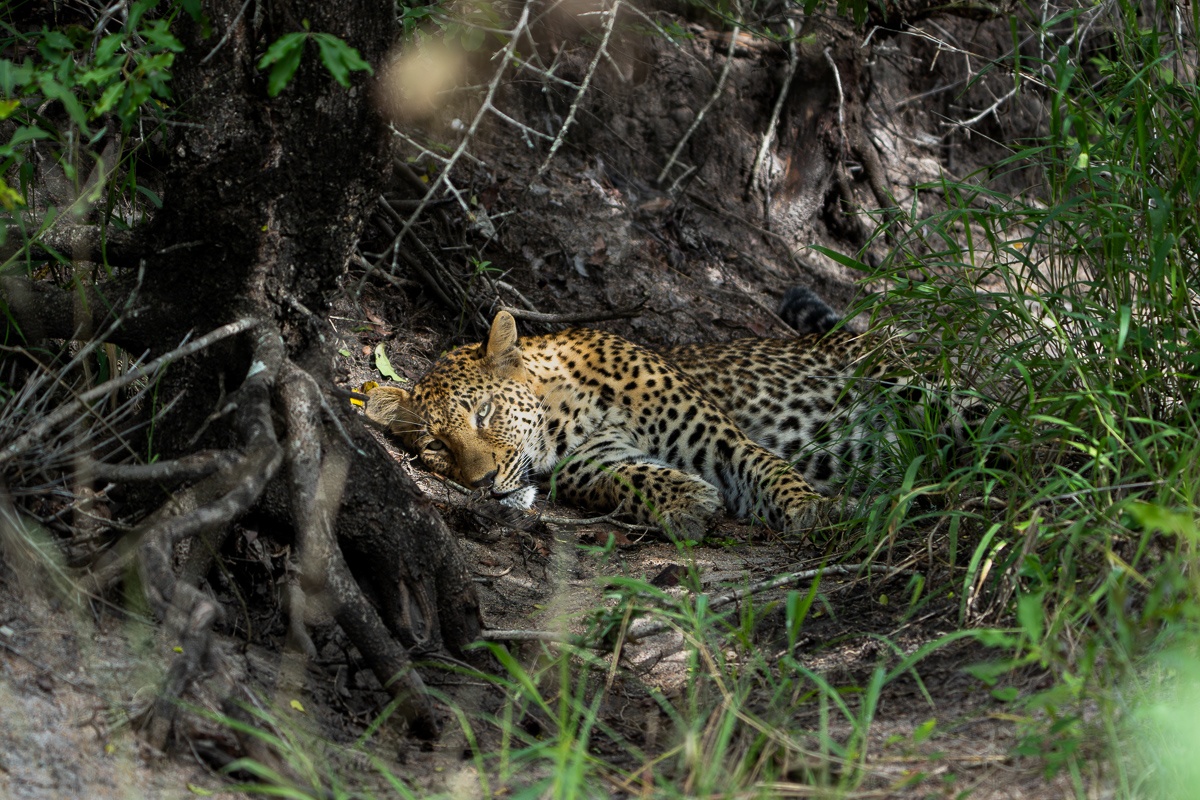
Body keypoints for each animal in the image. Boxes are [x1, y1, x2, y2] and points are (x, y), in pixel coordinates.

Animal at [363, 298, 917, 540]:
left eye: (484, 412)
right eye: (436, 447)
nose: (480, 483)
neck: (566, 406)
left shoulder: (720, 438)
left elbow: (768, 469)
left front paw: (813, 509)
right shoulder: (596, 463)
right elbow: (632, 477)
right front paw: (687, 500)